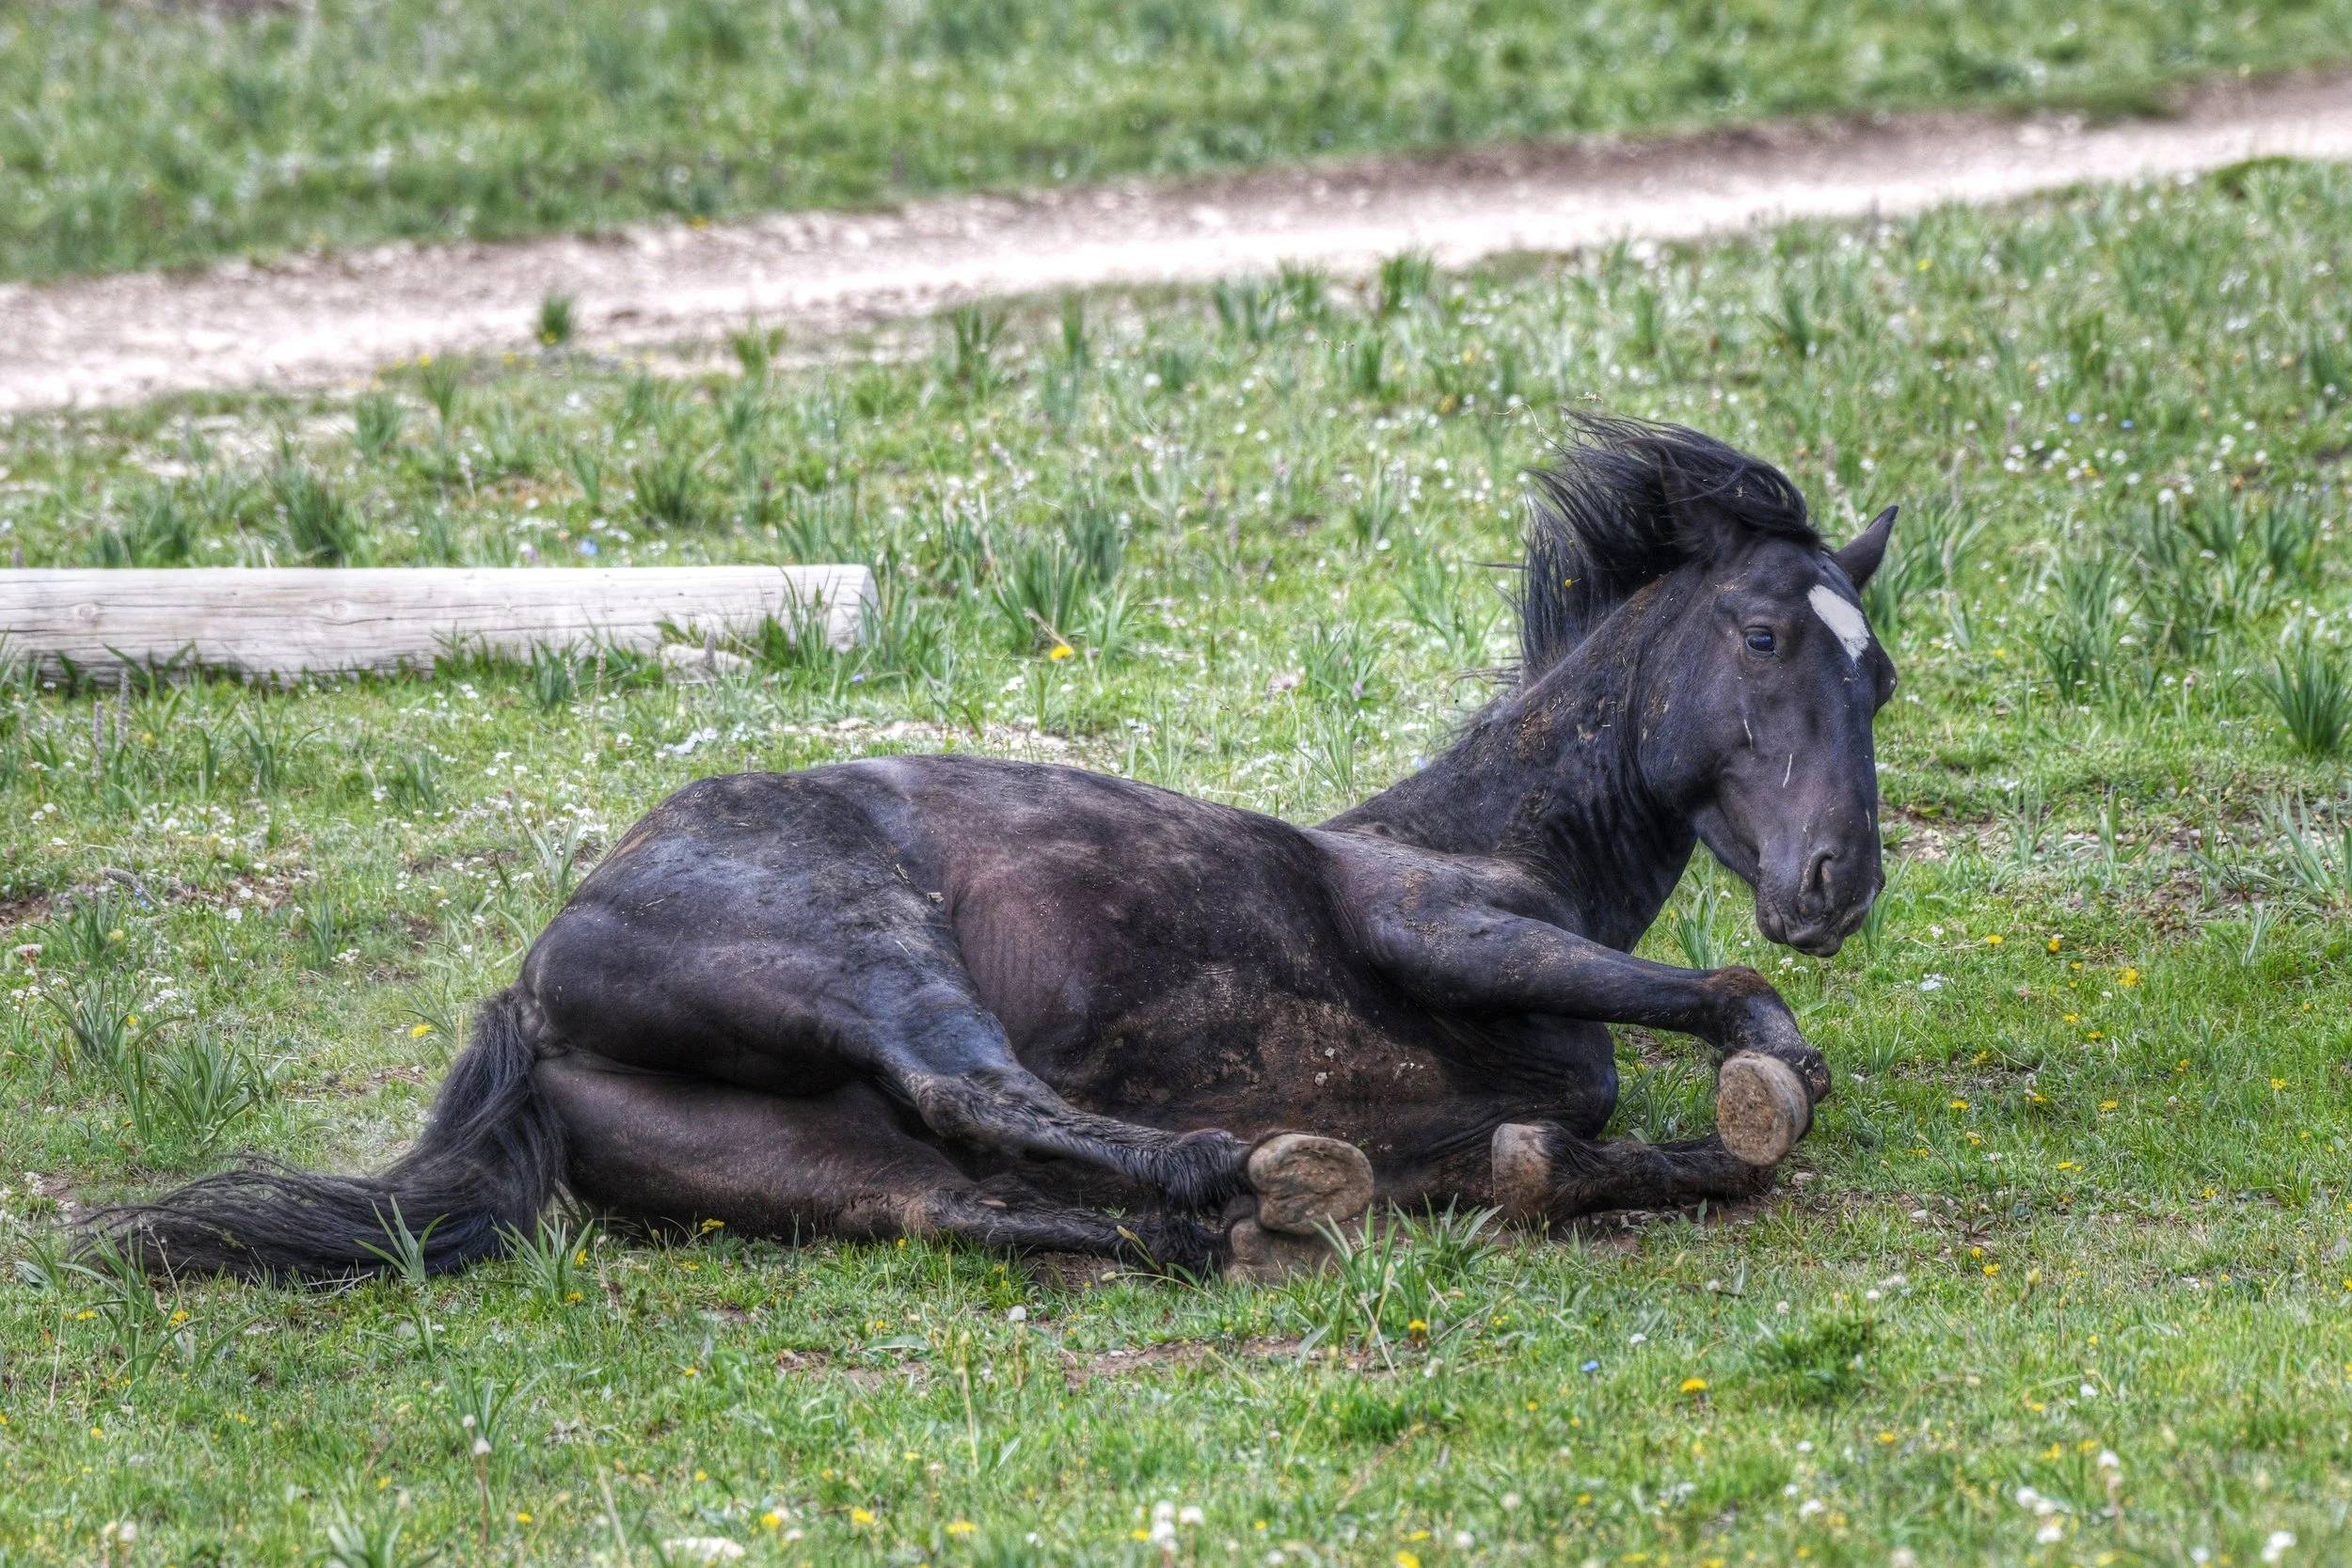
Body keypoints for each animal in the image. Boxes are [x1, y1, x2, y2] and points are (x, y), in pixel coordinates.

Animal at [107, 414, 1898, 1282]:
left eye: (1875, 671)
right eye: (1759, 633)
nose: (1836, 884)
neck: (1490, 832)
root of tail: (532, 983)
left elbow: (1577, 1138)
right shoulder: (1444, 929)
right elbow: (1714, 1017)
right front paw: (1766, 1062)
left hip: (797, 1165)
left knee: (963, 1201)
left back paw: (1226, 1210)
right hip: (866, 951)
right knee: (972, 1092)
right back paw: (1226, 1173)